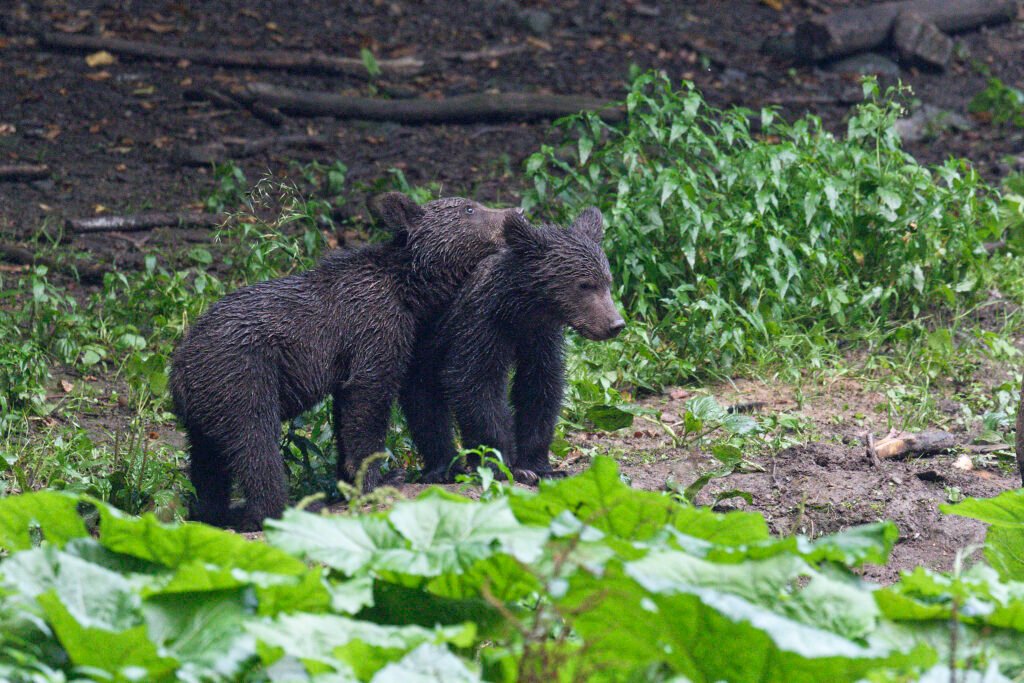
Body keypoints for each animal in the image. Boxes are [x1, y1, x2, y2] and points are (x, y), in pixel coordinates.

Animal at [169, 192, 518, 529]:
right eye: (469, 208)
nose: (515, 211)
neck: (409, 290)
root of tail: (179, 370)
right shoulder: (373, 331)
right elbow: (368, 403)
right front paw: (381, 477)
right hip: (243, 376)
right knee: (256, 445)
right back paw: (277, 508)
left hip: (206, 407)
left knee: (208, 464)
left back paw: (213, 512)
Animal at [399, 208, 624, 483]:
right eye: (584, 285)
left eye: (607, 282)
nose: (615, 323)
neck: (517, 310)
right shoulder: (479, 326)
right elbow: (475, 383)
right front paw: (500, 462)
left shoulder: (539, 337)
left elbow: (539, 387)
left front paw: (540, 466)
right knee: (425, 403)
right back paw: (443, 468)